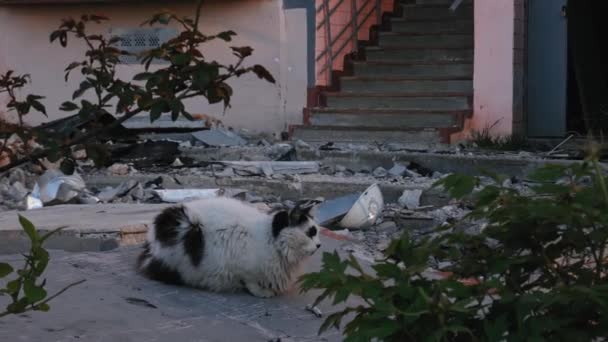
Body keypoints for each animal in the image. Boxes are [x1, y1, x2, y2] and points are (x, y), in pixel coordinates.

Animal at [135, 196, 320, 298]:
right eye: (310, 233)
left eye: (316, 232)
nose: (319, 245)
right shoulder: (244, 268)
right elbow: (251, 282)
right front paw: (262, 292)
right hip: (186, 232)